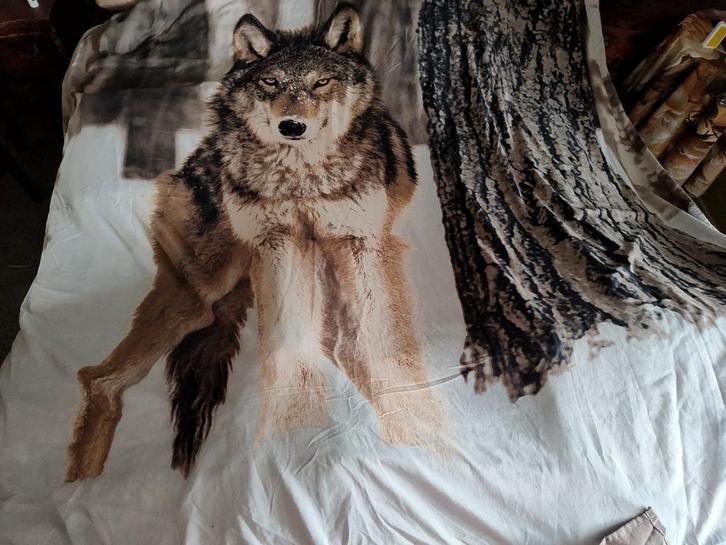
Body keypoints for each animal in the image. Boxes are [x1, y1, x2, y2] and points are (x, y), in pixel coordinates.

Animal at [66, 3, 442, 482]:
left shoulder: (364, 245)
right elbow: (290, 347)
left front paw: (409, 420)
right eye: (271, 82)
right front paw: (297, 427)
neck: (303, 179)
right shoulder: (282, 246)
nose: (292, 126)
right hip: (202, 290)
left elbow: (379, 342)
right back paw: (81, 481)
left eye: (321, 82)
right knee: (97, 378)